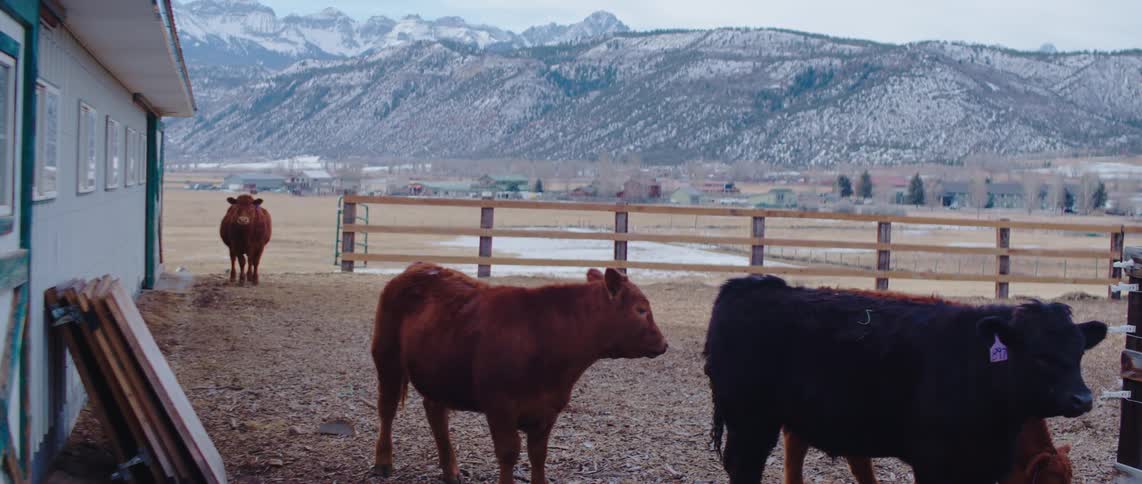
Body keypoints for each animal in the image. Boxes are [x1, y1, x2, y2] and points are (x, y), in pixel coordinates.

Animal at [370, 262, 668, 484]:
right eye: (641, 309)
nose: (664, 343)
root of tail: (418, 267)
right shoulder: (500, 406)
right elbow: (508, 452)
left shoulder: (548, 409)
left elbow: (538, 455)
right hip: (387, 358)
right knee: (387, 409)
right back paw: (383, 462)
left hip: (439, 372)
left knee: (435, 412)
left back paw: (451, 470)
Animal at [702, 275, 1106, 484]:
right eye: (1040, 355)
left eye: (1079, 352)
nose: (1083, 399)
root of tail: (752, 284)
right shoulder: (933, 461)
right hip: (750, 421)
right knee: (745, 468)